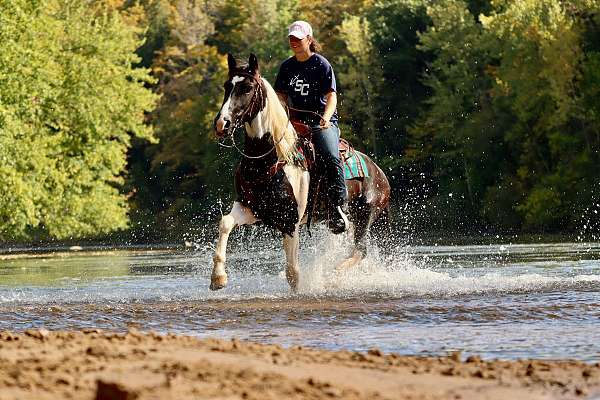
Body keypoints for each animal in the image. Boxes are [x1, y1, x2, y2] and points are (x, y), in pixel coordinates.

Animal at [211, 53, 390, 290]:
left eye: (247, 88)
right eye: (227, 86)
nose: (222, 123)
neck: (271, 160)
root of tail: (379, 173)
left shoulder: (290, 221)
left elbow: (293, 273)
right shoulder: (250, 208)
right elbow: (225, 223)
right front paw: (218, 277)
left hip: (366, 214)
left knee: (360, 251)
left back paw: (332, 277)